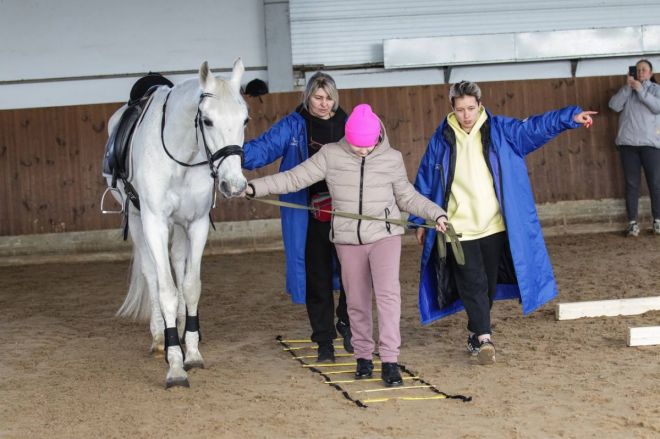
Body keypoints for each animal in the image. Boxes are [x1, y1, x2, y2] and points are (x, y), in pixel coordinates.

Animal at [107, 59, 249, 388]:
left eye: (245, 120)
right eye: (207, 121)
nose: (235, 185)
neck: (179, 156)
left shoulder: (196, 224)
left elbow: (191, 285)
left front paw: (192, 350)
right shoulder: (155, 223)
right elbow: (167, 290)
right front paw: (174, 364)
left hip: (181, 227)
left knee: (178, 262)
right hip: (137, 222)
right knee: (151, 273)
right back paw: (160, 336)